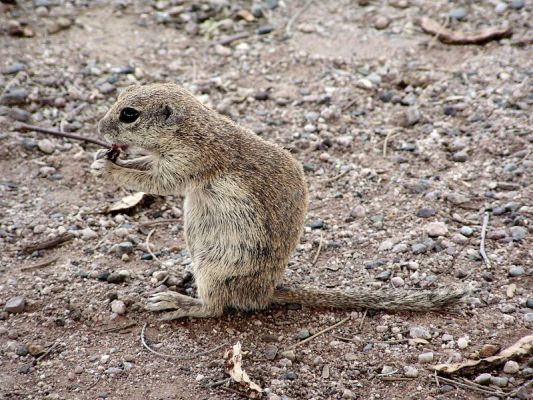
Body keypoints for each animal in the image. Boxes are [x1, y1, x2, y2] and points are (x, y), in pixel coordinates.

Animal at [93, 83, 464, 320]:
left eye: (129, 114)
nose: (97, 126)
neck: (192, 129)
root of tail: (265, 292)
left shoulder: (190, 162)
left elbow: (157, 181)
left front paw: (110, 169)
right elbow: (146, 166)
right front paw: (105, 158)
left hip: (215, 269)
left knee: (214, 309)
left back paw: (180, 303)